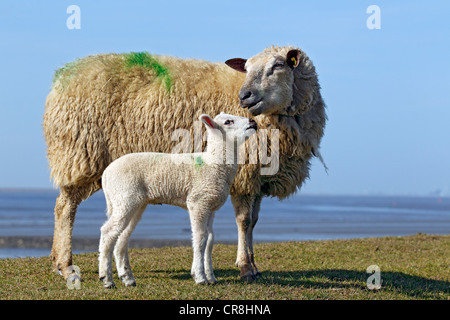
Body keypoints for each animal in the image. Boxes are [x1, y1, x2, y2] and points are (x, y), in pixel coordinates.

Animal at [100, 112, 258, 288]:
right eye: (228, 122)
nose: (253, 121)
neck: (212, 163)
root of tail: (106, 174)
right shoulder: (198, 202)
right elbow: (200, 238)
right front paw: (200, 276)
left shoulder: (210, 206)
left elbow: (210, 240)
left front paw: (211, 277)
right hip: (124, 196)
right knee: (108, 232)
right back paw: (107, 279)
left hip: (133, 202)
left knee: (122, 237)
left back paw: (127, 278)